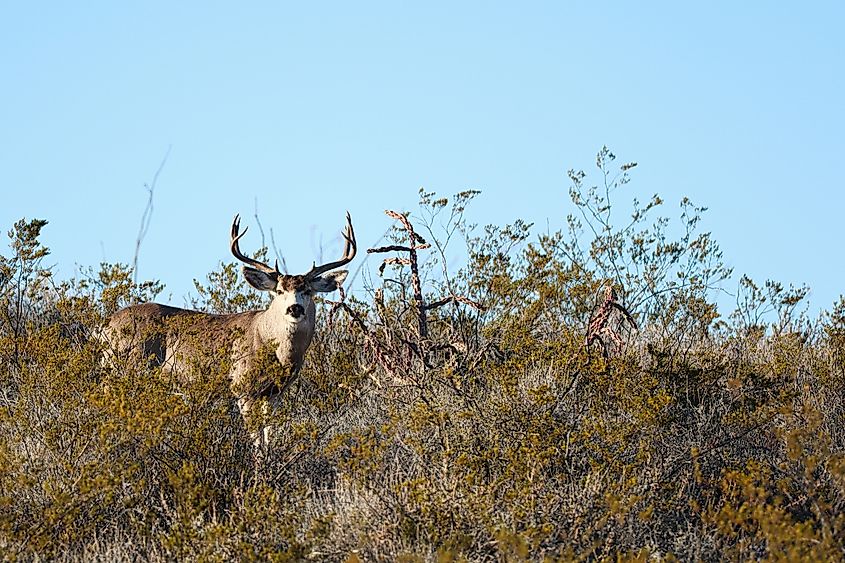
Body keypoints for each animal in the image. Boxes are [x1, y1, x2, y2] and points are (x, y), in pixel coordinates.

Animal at [102, 212, 356, 453]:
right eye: (279, 291)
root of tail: (106, 325)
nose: (295, 308)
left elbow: (269, 436)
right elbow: (256, 440)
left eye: (308, 291)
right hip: (127, 369)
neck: (273, 349)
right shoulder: (242, 387)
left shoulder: (275, 393)